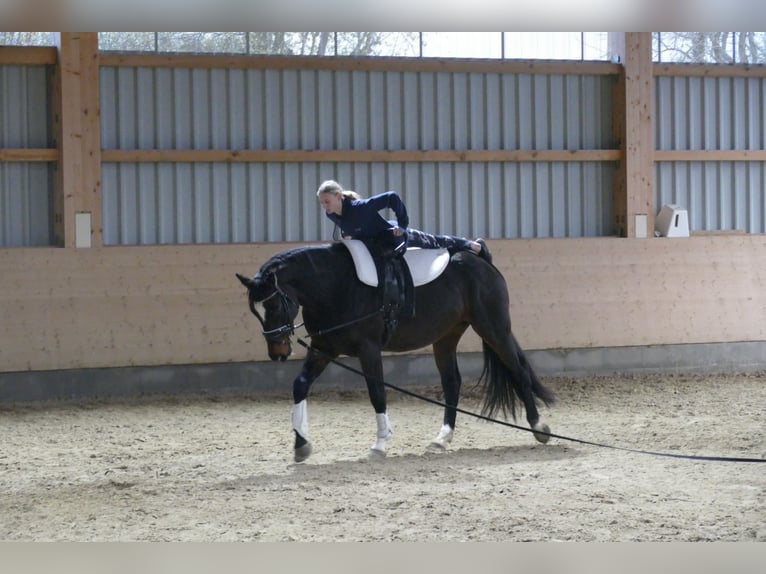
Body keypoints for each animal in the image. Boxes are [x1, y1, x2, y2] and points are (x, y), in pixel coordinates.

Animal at [237, 243, 556, 464]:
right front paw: (301, 445)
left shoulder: (368, 349)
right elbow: (300, 385)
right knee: (452, 382)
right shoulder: (323, 349)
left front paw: (379, 446)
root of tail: (479, 258)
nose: (278, 351)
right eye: (255, 311)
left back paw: (539, 426)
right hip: (446, 336)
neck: (336, 286)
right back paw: (441, 439)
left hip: (493, 327)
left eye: (274, 305)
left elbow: (377, 393)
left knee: (517, 370)